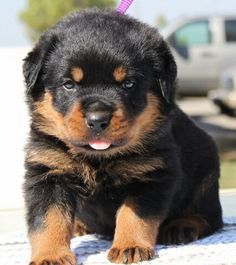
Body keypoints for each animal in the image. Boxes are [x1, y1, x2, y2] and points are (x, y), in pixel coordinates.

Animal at [23, 8, 222, 264]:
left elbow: (134, 214)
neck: (97, 158)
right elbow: (48, 219)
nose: (98, 118)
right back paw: (78, 225)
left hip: (206, 176)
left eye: (128, 84)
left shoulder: (152, 175)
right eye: (68, 84)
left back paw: (183, 226)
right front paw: (51, 255)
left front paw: (131, 245)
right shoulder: (48, 173)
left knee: (209, 216)